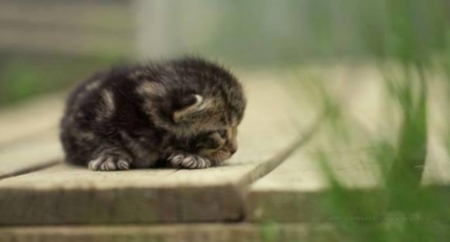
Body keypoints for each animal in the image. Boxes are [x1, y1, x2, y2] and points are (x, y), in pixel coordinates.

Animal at [59, 57, 246, 171]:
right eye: (221, 132)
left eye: (237, 129)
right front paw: (111, 155)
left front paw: (186, 154)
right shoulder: (84, 118)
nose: (234, 150)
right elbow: (98, 138)